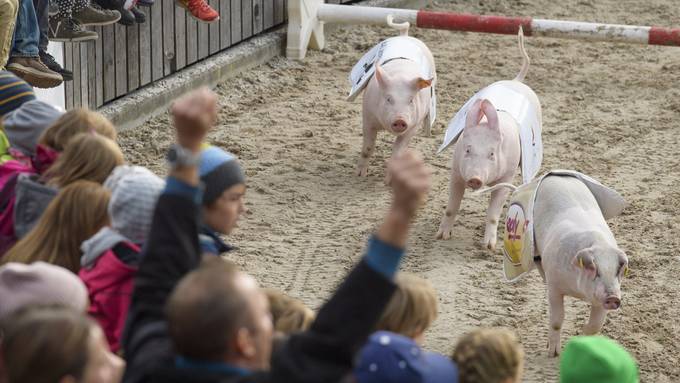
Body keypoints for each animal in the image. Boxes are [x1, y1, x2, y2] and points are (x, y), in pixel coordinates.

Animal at [436, 27, 540, 252]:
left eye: (492, 154)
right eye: (467, 150)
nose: (475, 178)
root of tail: (516, 81)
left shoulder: (507, 175)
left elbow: (493, 212)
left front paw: (489, 247)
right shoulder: (456, 171)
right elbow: (451, 206)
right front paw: (441, 237)